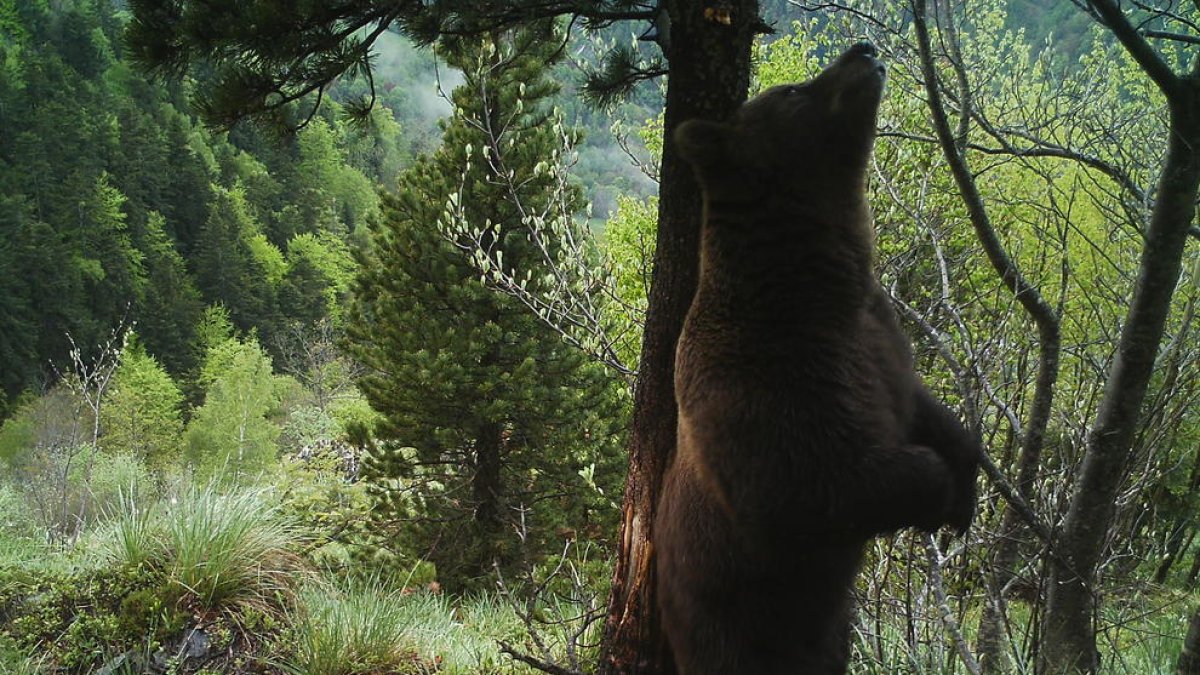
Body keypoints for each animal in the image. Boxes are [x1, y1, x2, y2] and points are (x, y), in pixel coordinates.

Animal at [657, 43, 984, 672]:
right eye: (790, 91)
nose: (863, 49)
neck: (810, 285)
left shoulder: (874, 336)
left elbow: (921, 404)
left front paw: (965, 487)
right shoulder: (766, 382)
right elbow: (813, 487)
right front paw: (937, 492)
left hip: (828, 632)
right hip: (727, 620)